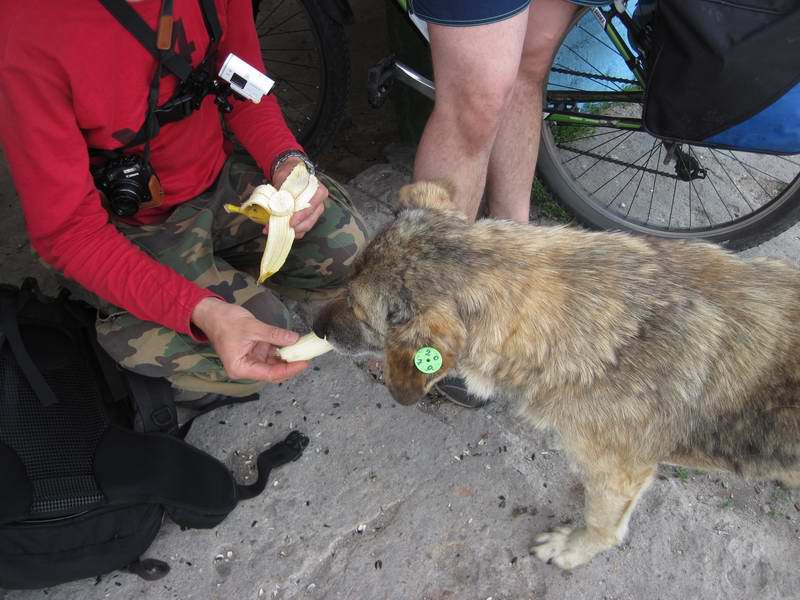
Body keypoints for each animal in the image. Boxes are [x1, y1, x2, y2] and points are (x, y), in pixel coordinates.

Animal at [312, 180, 800, 568]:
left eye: (357, 308)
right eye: (347, 277)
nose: (314, 327)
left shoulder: (618, 476)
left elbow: (602, 525)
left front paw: (572, 549)